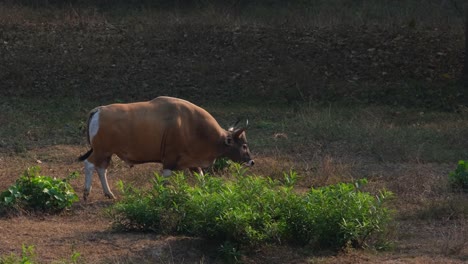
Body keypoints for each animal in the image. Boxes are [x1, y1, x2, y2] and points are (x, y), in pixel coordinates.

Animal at [77, 96, 252, 201]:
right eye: (244, 145)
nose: (251, 161)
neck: (191, 125)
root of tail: (99, 110)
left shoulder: (192, 161)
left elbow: (201, 178)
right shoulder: (169, 159)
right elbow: (165, 180)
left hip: (107, 152)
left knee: (101, 169)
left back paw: (109, 194)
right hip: (101, 150)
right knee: (89, 164)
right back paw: (86, 193)